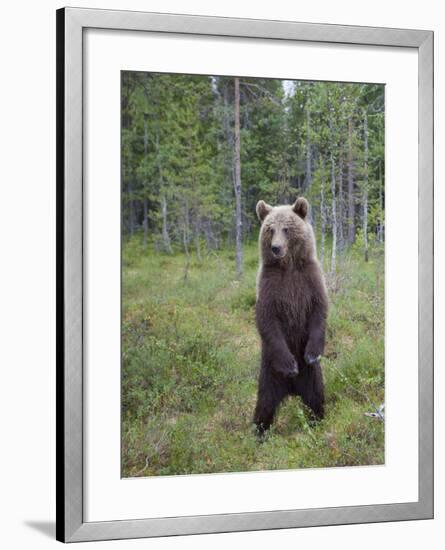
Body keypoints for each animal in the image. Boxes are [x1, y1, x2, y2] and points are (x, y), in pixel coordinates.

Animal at [253, 198, 326, 436]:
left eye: (286, 228)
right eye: (270, 229)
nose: (276, 248)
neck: (289, 266)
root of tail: (292, 390)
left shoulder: (310, 279)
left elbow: (319, 311)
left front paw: (312, 353)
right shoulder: (269, 285)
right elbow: (267, 319)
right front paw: (290, 365)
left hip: (312, 376)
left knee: (316, 398)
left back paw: (318, 423)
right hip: (269, 372)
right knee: (264, 405)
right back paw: (259, 433)